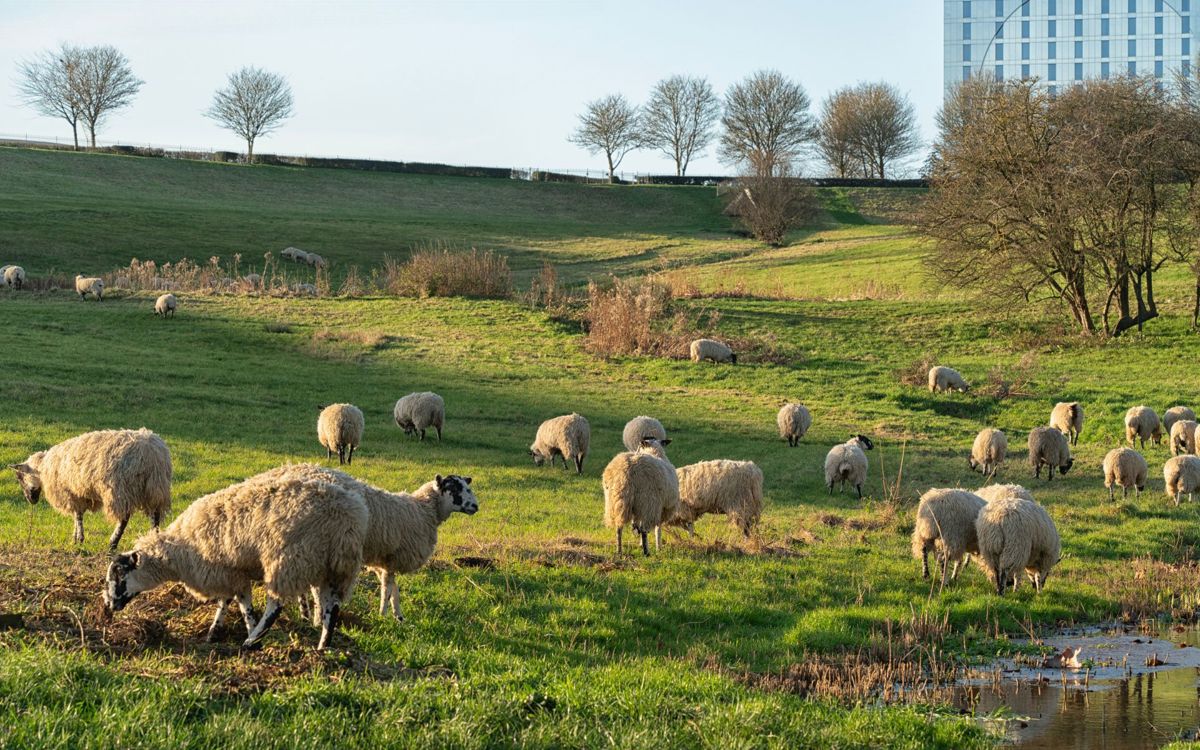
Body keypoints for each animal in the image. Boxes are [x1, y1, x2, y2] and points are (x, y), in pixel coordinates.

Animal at [9, 428, 171, 551]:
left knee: (124, 518)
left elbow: (78, 516)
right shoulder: (78, 494)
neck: (43, 468)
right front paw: (75, 537)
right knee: (155, 517)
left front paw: (79, 539)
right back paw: (153, 539)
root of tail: (152, 454)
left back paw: (113, 543)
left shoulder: (70, 493)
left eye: (19, 477)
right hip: (155, 489)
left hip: (121, 489)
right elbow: (77, 515)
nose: (31, 500)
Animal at [104, 465, 368, 650]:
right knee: (331, 608)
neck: (179, 551)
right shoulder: (227, 573)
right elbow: (228, 602)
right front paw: (214, 631)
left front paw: (247, 632)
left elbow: (241, 605)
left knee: (276, 605)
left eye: (119, 576)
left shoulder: (227, 571)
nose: (109, 607)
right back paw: (323, 647)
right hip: (333, 569)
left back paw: (251, 642)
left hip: (289, 560)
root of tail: (347, 519)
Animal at [254, 464, 478, 621]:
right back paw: (312, 616)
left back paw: (305, 614)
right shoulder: (392, 556)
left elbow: (394, 588)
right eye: (454, 488)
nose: (475, 506)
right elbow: (387, 588)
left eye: (467, 486)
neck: (423, 510)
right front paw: (383, 615)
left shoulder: (384, 558)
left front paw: (399, 617)